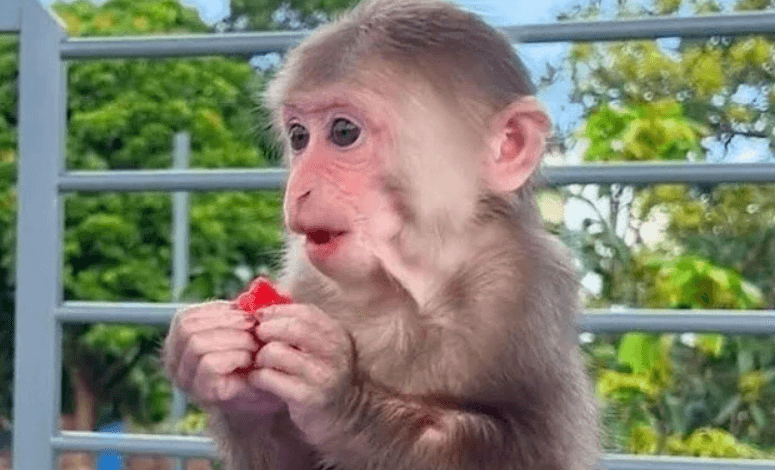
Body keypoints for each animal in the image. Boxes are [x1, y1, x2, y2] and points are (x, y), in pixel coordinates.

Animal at [162, 0, 601, 468]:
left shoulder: (521, 286)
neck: (409, 287)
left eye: (343, 132)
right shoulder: (309, 276)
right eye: (299, 137)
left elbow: (532, 447)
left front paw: (336, 394)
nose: (298, 188)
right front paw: (229, 383)